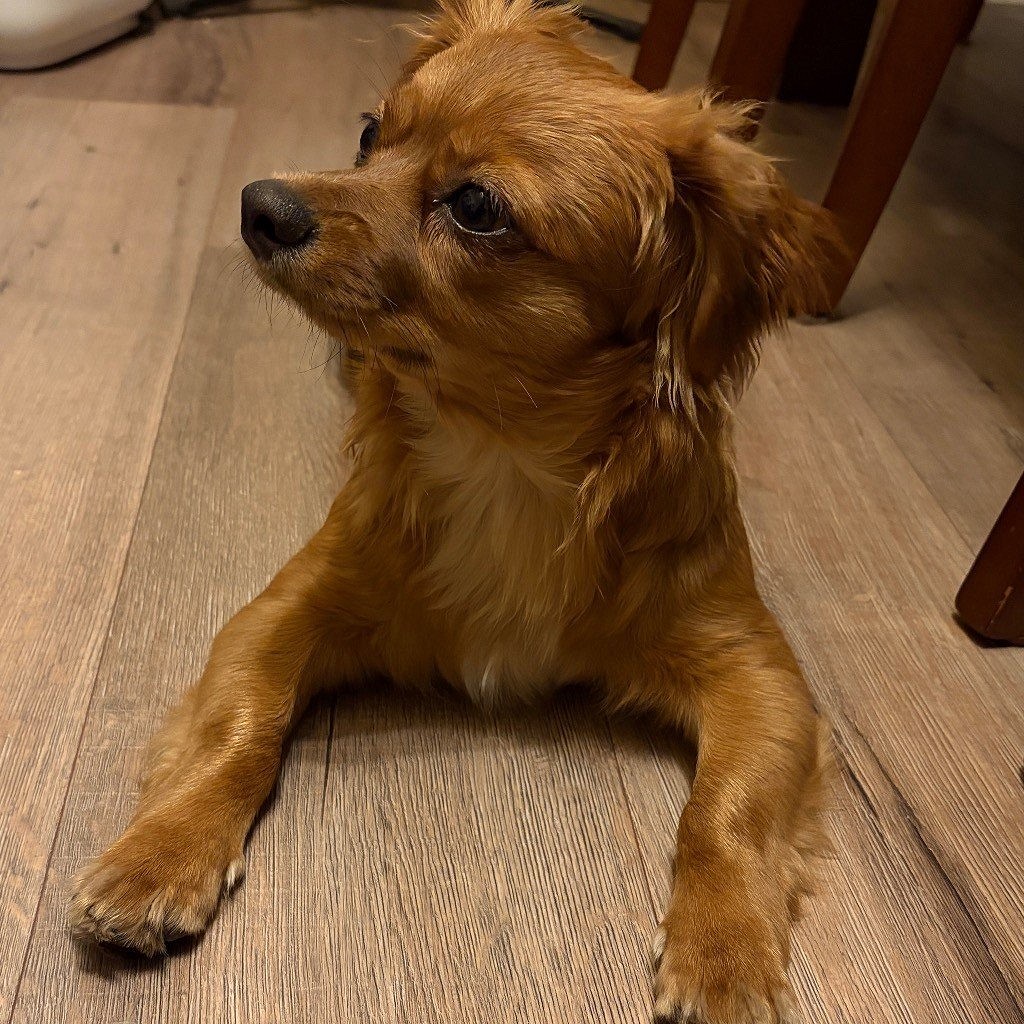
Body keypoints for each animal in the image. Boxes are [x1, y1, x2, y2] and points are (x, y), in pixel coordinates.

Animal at [71, 2, 842, 1020]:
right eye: (369, 134)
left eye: (476, 207)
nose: (258, 204)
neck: (501, 452)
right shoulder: (284, 610)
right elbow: (240, 725)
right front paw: (160, 857)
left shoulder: (759, 675)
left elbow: (727, 811)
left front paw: (724, 952)